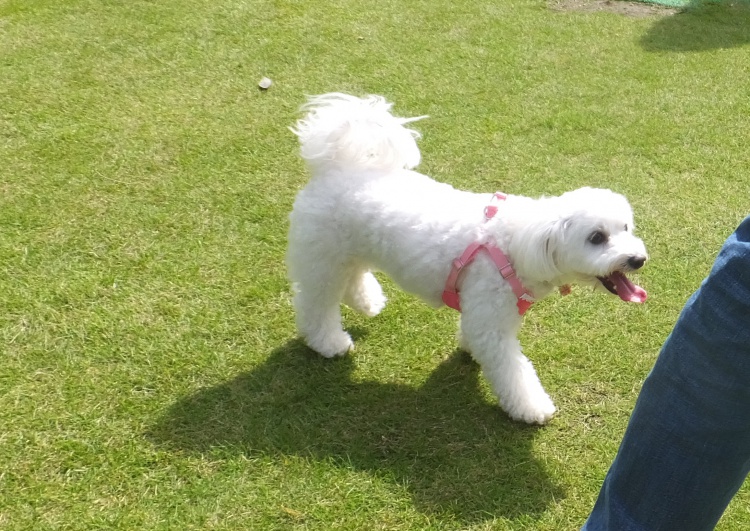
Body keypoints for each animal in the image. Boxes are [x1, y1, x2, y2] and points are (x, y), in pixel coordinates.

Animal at [287, 93, 647, 424]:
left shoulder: (484, 308)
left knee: (353, 276)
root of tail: (333, 167)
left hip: (348, 249)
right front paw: (532, 408)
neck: (517, 242)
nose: (638, 259)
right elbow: (513, 372)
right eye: (596, 237)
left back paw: (367, 301)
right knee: (316, 303)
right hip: (323, 257)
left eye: (626, 228)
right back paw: (329, 342)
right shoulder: (491, 319)